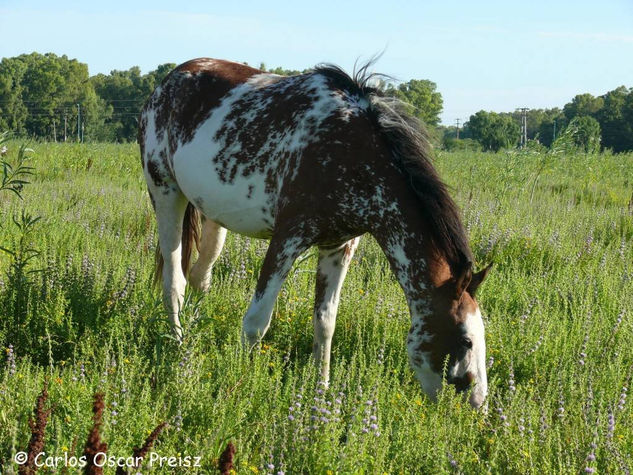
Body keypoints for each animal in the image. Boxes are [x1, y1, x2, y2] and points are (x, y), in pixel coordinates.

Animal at [139, 58, 494, 410]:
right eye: (466, 340)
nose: (478, 405)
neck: (352, 154)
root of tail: (168, 80)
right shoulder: (288, 238)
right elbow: (256, 322)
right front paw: (239, 383)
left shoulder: (339, 246)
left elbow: (325, 323)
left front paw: (321, 393)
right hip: (166, 194)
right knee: (175, 282)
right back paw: (179, 346)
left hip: (213, 216)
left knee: (200, 275)